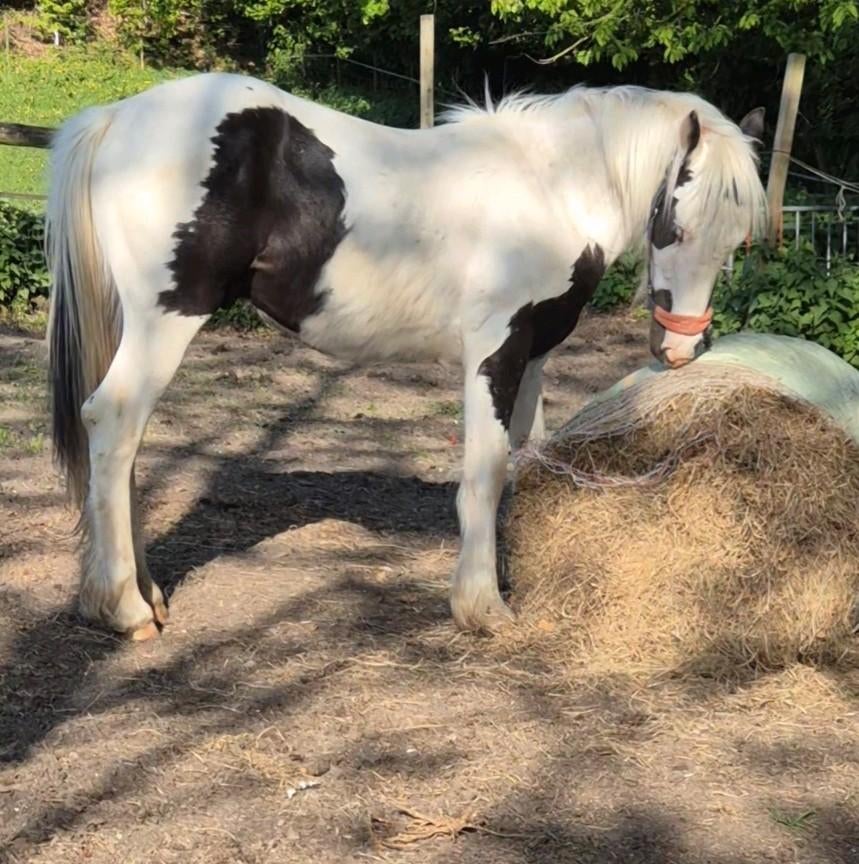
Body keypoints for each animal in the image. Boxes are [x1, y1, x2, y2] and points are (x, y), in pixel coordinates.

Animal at [45, 72, 767, 640]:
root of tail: (115, 120)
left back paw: (144, 594)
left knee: (125, 447)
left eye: (739, 241)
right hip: (166, 320)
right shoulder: (495, 350)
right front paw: (481, 606)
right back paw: (123, 608)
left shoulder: (534, 356)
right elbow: (484, 472)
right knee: (112, 422)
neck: (551, 188)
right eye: (675, 224)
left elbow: (530, 460)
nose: (681, 347)